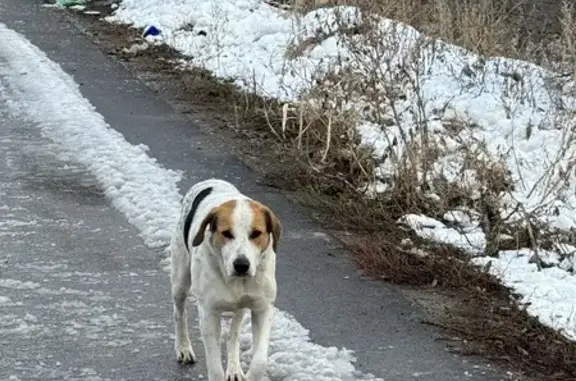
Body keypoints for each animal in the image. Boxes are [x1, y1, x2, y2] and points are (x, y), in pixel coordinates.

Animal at [168, 178, 282, 380]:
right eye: (227, 233)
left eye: (256, 233)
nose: (241, 265)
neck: (237, 281)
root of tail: (211, 181)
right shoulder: (209, 313)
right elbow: (214, 367)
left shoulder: (263, 308)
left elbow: (259, 361)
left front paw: (247, 373)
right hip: (180, 281)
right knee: (179, 312)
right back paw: (183, 348)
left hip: (240, 307)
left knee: (234, 334)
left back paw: (235, 368)